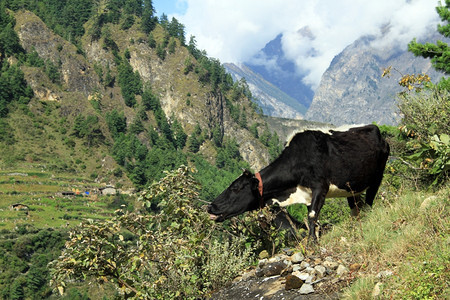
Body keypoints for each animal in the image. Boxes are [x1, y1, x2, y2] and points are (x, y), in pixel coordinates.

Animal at [209, 124, 388, 241]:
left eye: (236, 188)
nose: (211, 206)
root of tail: (376, 129)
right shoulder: (308, 195)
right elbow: (312, 220)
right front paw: (314, 238)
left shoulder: (320, 187)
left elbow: (312, 216)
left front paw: (311, 243)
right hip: (352, 187)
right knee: (356, 207)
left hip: (377, 177)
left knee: (369, 202)